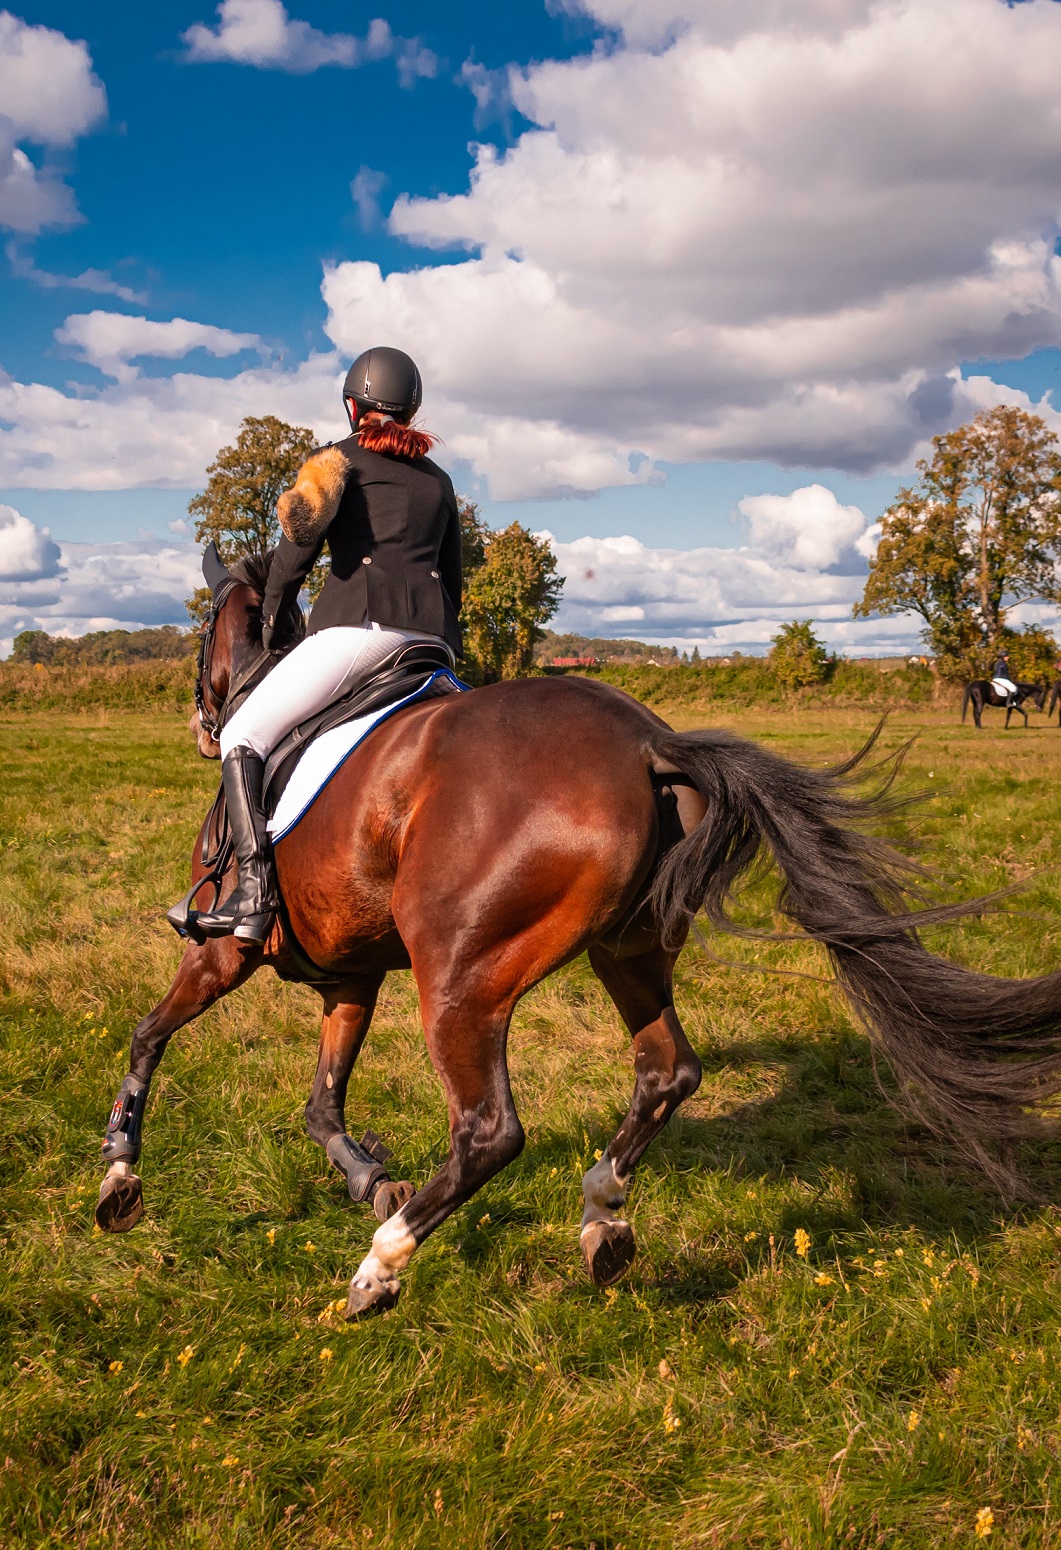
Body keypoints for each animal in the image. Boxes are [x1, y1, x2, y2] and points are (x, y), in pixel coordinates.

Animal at [92, 558, 1061, 1320]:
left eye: (201, 623)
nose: (201, 720)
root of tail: (647, 746)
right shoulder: (349, 978)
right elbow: (321, 1105)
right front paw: (368, 1179)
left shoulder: (224, 951)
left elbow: (148, 1035)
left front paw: (119, 1176)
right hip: (627, 951)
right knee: (667, 1072)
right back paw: (603, 1220)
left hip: (461, 977)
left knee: (489, 1132)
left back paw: (381, 1268)